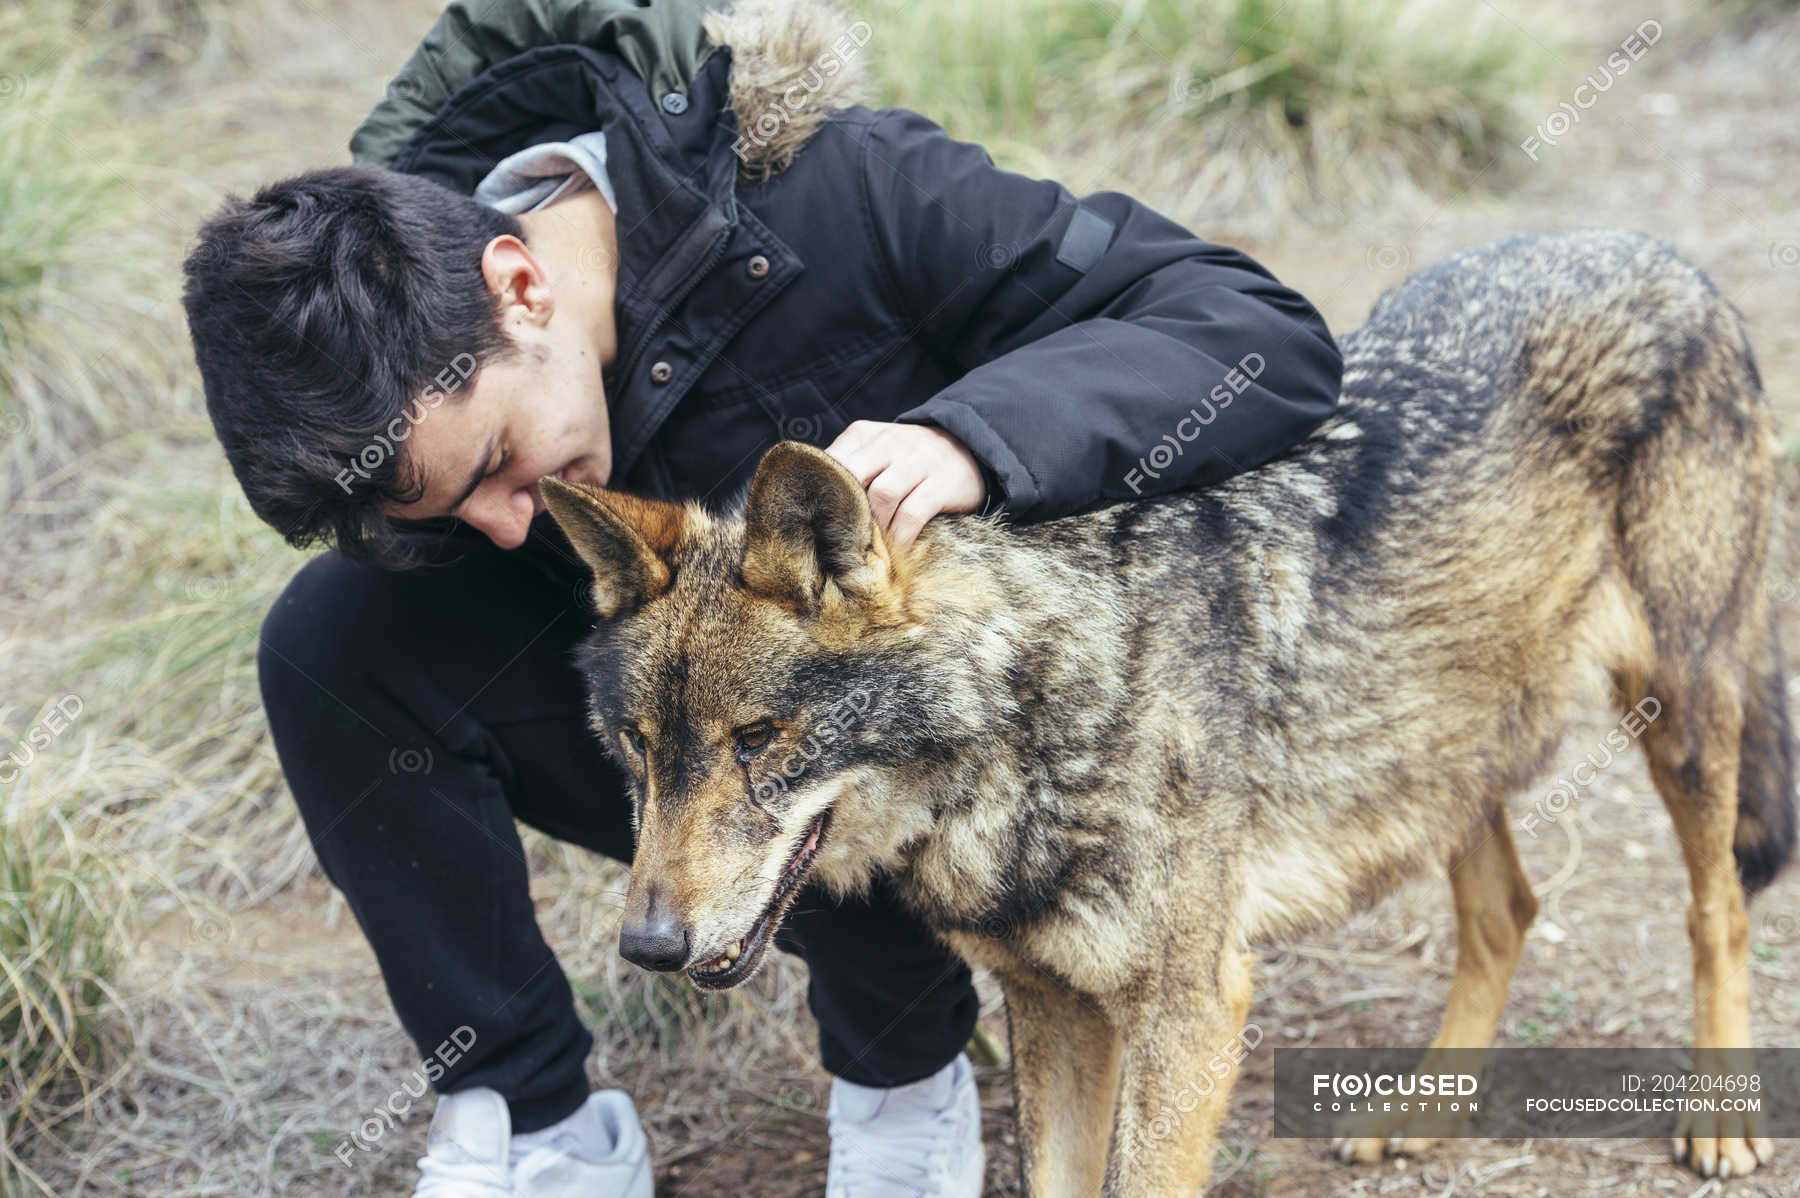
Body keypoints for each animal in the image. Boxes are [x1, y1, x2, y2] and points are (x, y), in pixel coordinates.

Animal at [540, 228, 1792, 1187]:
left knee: (1720, 907)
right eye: (638, 748)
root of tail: (1661, 253)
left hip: (1678, 713)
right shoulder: (1051, 1006)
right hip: (1441, 758)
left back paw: (1721, 1127)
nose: (646, 946)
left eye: (760, 740)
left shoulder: (1190, 1013)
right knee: (1508, 914)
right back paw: (1421, 1114)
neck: (1043, 706)